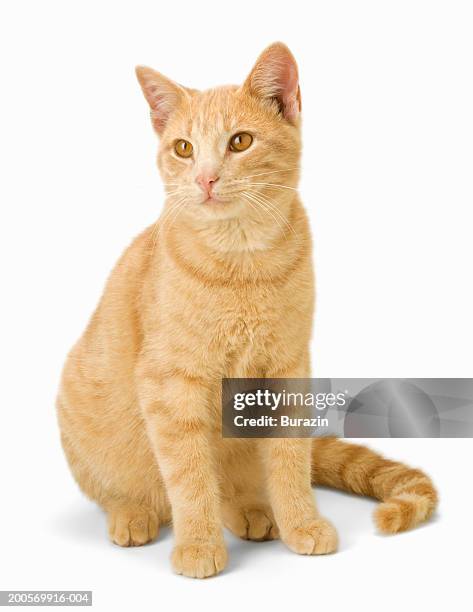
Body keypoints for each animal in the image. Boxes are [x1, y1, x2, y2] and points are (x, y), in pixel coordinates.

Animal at [57, 44, 436, 580]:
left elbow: (289, 461)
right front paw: (198, 544)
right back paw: (134, 513)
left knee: (239, 486)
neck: (242, 263)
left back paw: (254, 511)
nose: (206, 178)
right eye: (183, 148)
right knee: (124, 491)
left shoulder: (288, 368)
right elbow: (190, 476)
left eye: (240, 141)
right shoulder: (171, 384)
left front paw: (300, 522)